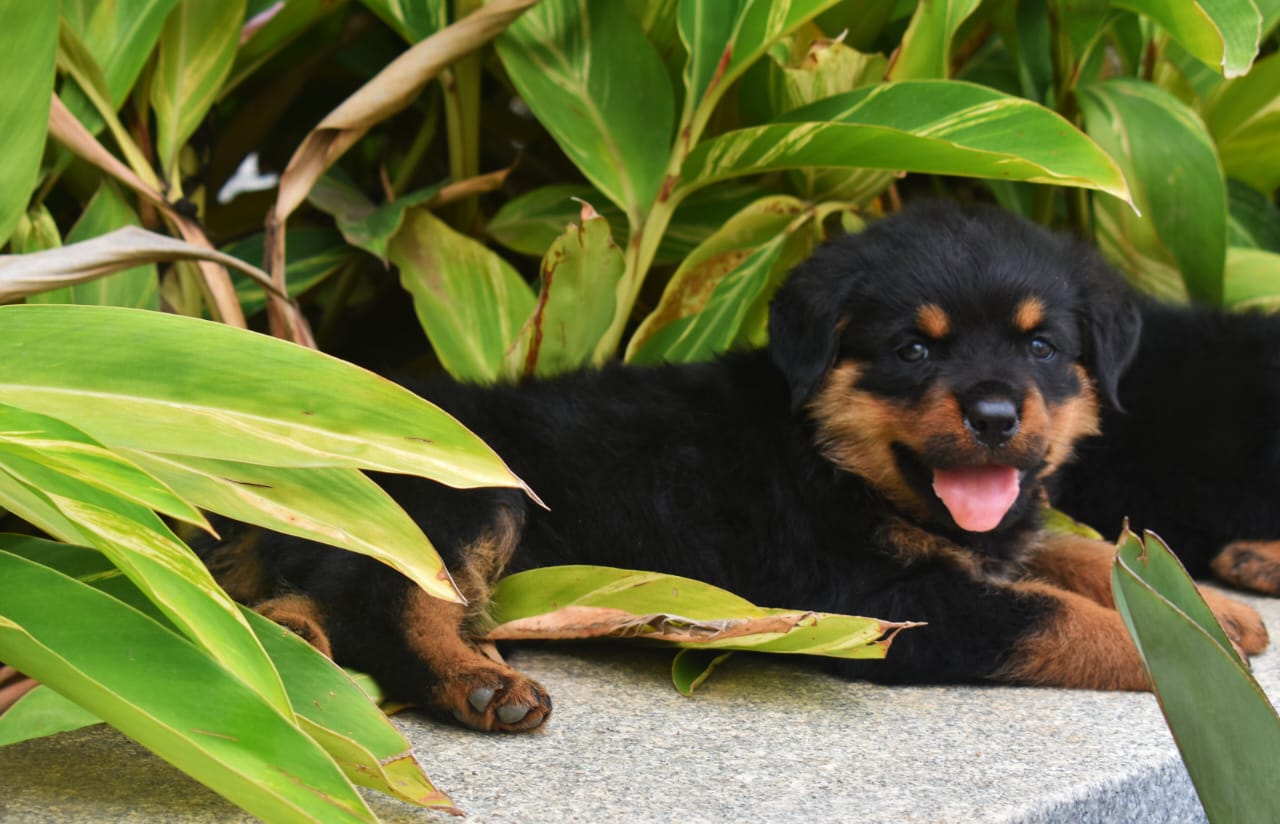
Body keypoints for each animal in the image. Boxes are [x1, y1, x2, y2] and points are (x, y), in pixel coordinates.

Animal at [194, 202, 1264, 731]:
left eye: (1042, 346)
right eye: (914, 350)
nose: (997, 415)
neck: (828, 459)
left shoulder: (981, 543)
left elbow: (1074, 555)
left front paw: (1213, 609)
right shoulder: (876, 607)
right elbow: (1062, 616)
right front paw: (1204, 652)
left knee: (308, 595)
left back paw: (295, 648)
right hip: (468, 491)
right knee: (384, 600)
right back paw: (475, 684)